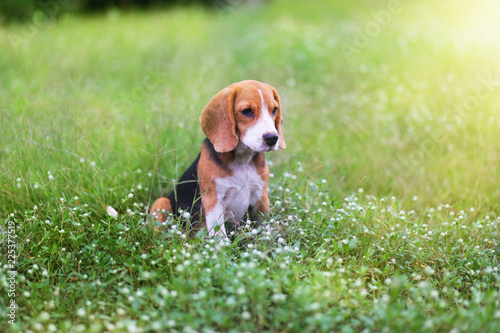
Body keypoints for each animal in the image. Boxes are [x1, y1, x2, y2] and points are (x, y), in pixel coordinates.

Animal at [148, 79, 286, 237]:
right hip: (162, 202)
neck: (243, 160)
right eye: (247, 111)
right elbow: (220, 237)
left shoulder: (261, 198)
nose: (272, 138)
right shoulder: (214, 202)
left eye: (274, 110)